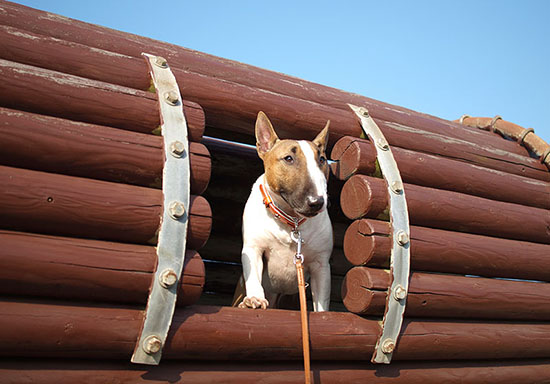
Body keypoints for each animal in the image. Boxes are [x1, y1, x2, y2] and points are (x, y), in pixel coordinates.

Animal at [236, 112, 332, 312]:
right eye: (288, 158)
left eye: (321, 160)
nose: (317, 203)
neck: (291, 220)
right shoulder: (253, 248)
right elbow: (253, 275)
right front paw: (255, 299)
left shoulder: (320, 264)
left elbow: (321, 300)